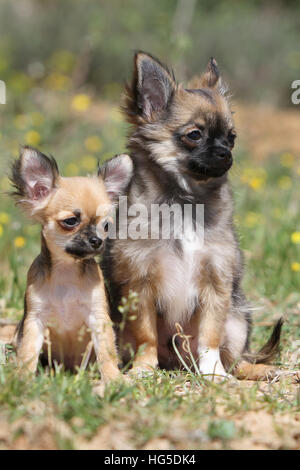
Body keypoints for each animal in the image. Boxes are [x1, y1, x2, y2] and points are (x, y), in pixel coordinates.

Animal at [10, 147, 132, 386]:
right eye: (70, 221)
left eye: (106, 225)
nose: (97, 241)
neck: (66, 271)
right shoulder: (34, 320)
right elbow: (28, 352)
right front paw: (22, 379)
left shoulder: (98, 318)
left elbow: (106, 352)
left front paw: (112, 378)